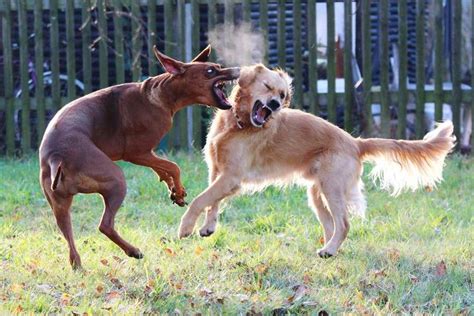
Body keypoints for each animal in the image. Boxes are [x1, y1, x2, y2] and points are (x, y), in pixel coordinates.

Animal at [39, 46, 241, 270]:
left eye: (218, 66)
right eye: (210, 71)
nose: (239, 70)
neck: (161, 94)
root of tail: (56, 156)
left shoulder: (147, 154)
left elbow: (163, 169)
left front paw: (174, 192)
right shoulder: (136, 153)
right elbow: (173, 166)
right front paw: (178, 190)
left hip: (59, 204)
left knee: (68, 234)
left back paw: (79, 265)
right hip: (115, 179)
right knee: (105, 225)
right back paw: (133, 251)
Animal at [179, 64, 456, 256]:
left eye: (282, 94)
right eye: (268, 87)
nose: (275, 104)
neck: (238, 124)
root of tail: (355, 142)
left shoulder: (231, 176)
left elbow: (200, 200)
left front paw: (186, 227)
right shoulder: (219, 172)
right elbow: (212, 202)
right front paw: (208, 227)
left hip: (331, 188)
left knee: (343, 224)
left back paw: (329, 250)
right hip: (317, 193)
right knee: (331, 225)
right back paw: (330, 249)